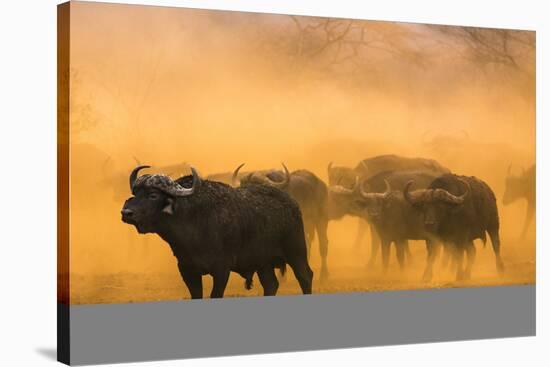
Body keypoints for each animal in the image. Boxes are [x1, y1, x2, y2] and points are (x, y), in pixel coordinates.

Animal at [123, 165, 316, 298]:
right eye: (136, 193)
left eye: (153, 195)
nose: (126, 213)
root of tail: (293, 204)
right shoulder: (187, 269)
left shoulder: (221, 269)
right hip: (263, 263)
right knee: (271, 284)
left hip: (296, 252)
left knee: (305, 276)